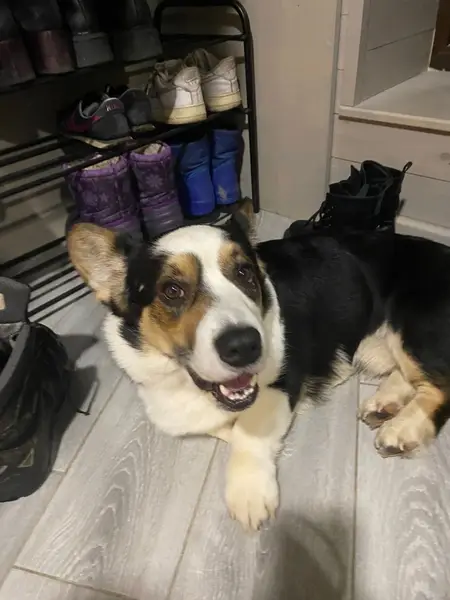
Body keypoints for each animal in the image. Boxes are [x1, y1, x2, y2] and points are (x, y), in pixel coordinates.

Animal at [68, 201, 450, 530]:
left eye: (244, 273)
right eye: (172, 290)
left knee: (440, 384)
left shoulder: (283, 382)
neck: (189, 383)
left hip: (412, 327)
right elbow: (223, 426)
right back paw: (385, 404)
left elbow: (246, 432)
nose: (244, 346)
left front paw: (249, 495)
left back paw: (401, 429)